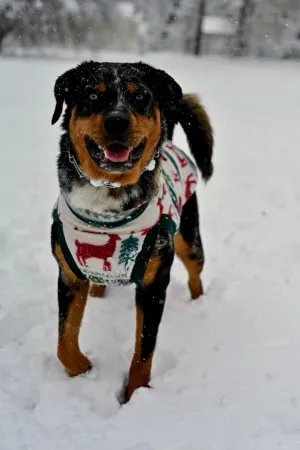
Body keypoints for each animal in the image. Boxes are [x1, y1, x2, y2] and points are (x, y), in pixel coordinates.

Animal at [50, 60, 213, 404]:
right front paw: (83, 368)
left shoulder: (154, 284)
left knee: (195, 273)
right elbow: (64, 343)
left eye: (140, 97)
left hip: (188, 238)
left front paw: (135, 395)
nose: (117, 120)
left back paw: (197, 303)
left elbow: (143, 353)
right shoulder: (68, 274)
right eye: (92, 95)